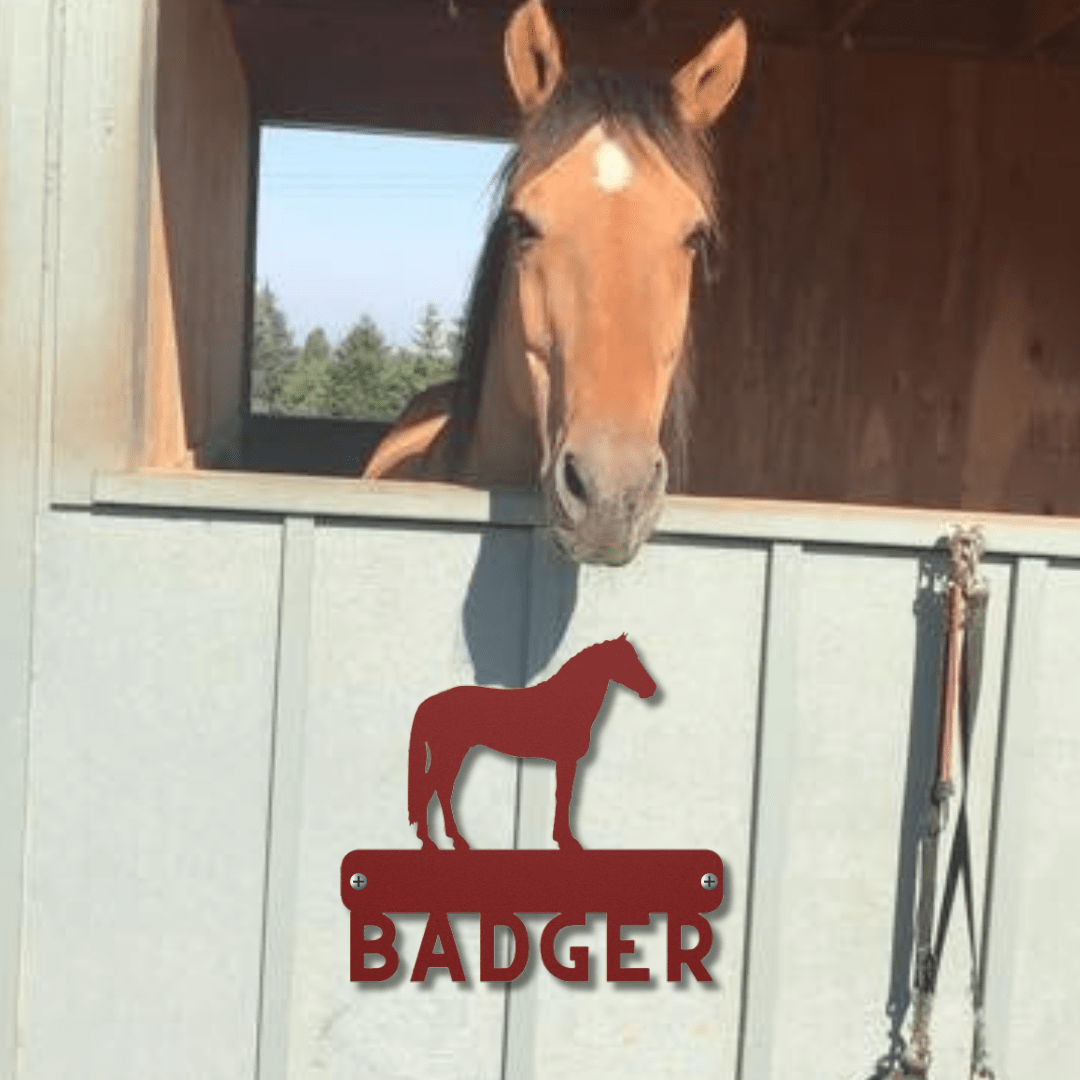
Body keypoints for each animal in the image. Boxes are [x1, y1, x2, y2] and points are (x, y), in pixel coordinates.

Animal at [406, 630, 652, 851]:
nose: (651, 689)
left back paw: (453, 840)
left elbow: (563, 796)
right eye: (625, 659)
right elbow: (563, 796)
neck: (567, 701)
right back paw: (431, 842)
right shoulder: (566, 760)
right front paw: (567, 841)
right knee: (432, 788)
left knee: (442, 789)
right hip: (449, 753)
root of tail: (428, 703)